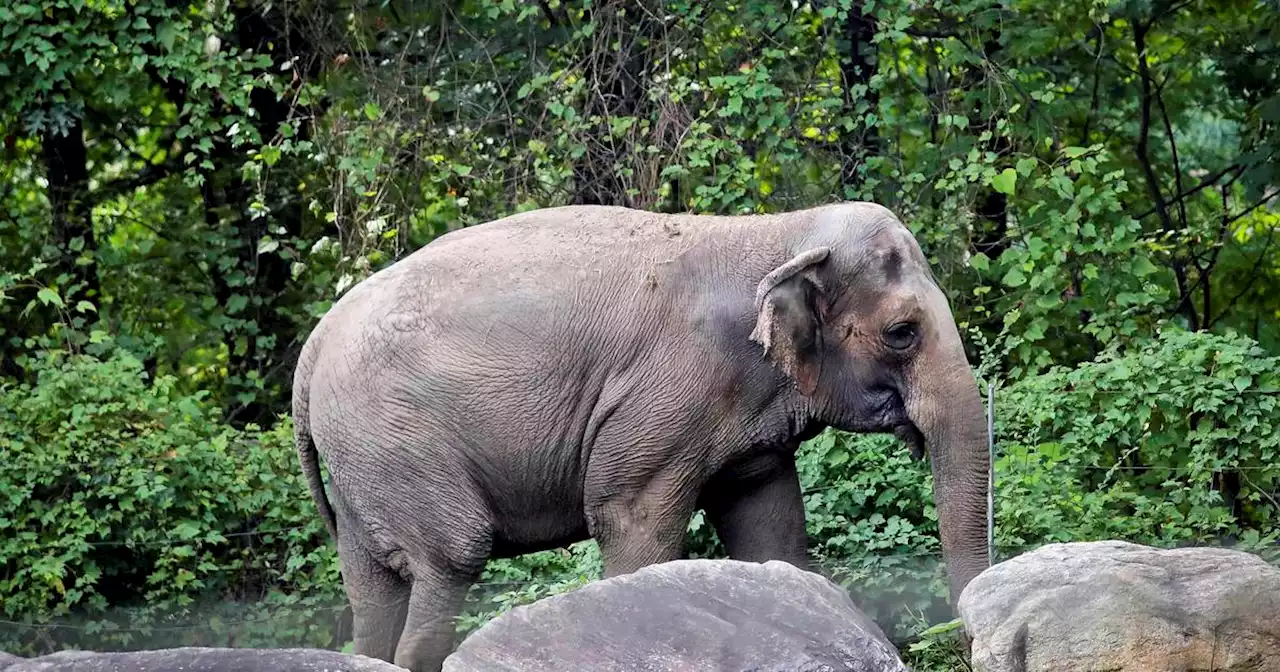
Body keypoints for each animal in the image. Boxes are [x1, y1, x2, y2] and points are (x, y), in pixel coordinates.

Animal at [294, 200, 993, 670]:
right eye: (901, 333)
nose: (961, 643)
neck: (778, 230)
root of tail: (314, 344)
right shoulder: (665, 396)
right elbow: (632, 520)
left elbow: (769, 526)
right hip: (397, 440)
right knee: (450, 559)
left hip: (363, 461)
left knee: (372, 588)